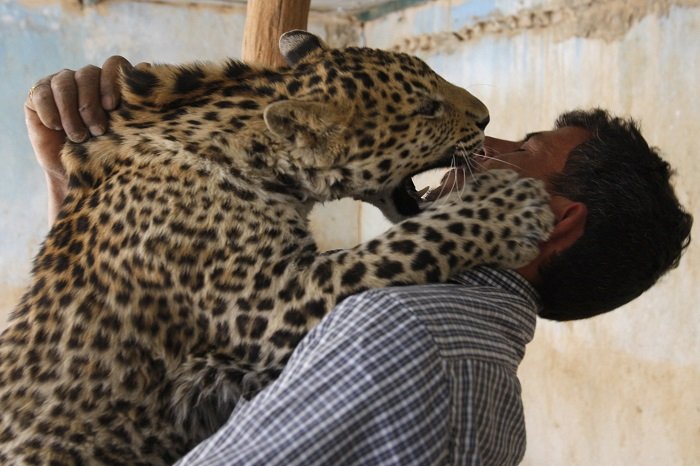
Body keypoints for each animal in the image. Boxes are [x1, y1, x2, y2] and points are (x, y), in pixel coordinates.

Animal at [0, 31, 552, 464]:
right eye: (426, 108)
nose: (486, 118)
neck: (251, 147)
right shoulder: (267, 303)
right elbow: (406, 244)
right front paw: (510, 206)